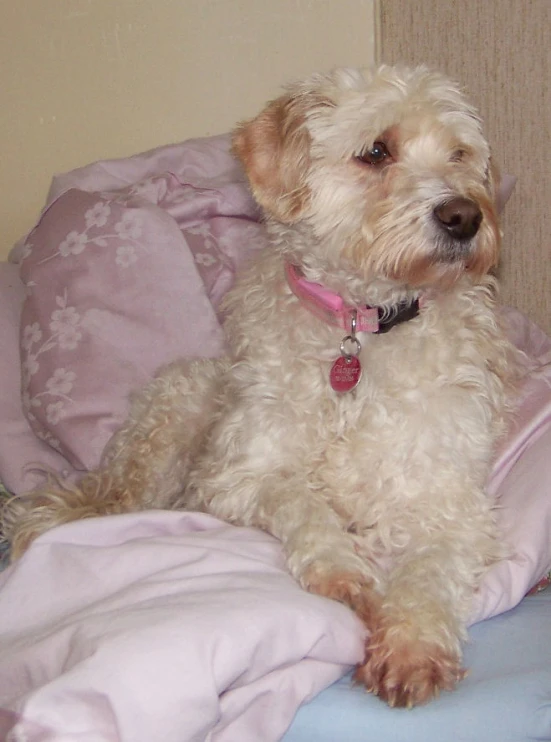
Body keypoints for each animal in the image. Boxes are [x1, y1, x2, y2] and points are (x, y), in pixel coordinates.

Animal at [5, 65, 520, 708]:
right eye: (377, 151)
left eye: (460, 155)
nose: (465, 217)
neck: (362, 329)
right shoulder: (237, 476)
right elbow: (300, 501)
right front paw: (342, 570)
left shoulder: (450, 501)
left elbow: (431, 571)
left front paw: (411, 645)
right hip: (176, 409)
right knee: (111, 503)